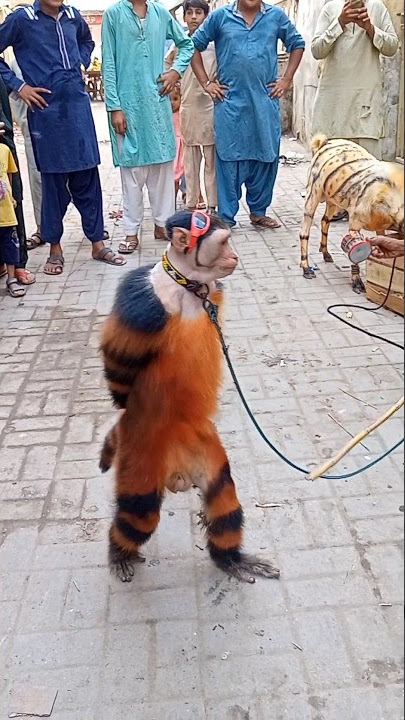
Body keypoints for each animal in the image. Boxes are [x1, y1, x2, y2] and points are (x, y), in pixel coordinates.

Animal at [100, 210, 280, 584]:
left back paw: (230, 558)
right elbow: (118, 365)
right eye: (223, 243)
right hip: (142, 451)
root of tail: (175, 475)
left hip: (198, 444)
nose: (234, 256)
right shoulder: (143, 301)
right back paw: (120, 551)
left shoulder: (211, 289)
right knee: (139, 509)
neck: (188, 286)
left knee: (220, 491)